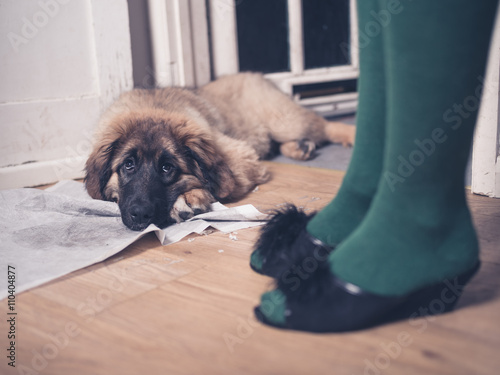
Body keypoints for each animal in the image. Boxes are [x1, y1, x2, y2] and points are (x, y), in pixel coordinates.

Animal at [84, 72, 354, 231]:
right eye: (128, 165)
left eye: (167, 168)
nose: (140, 216)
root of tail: (256, 75)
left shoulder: (239, 157)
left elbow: (214, 184)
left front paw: (189, 197)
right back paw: (300, 147)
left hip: (284, 120)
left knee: (324, 126)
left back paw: (351, 135)